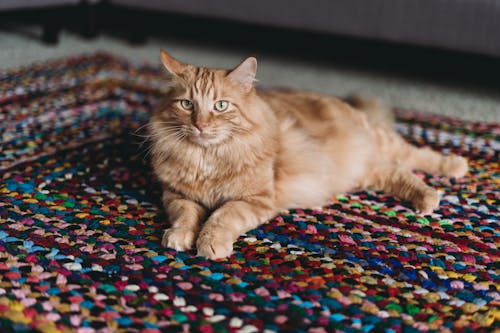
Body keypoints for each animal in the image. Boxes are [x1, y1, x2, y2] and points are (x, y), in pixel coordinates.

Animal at [148, 49, 468, 260]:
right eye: (187, 104)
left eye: (221, 106)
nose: (200, 125)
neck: (207, 158)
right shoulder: (175, 195)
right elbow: (186, 215)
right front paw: (179, 236)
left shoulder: (255, 199)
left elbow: (220, 217)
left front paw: (211, 244)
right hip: (366, 172)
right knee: (398, 172)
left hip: (383, 144)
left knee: (417, 156)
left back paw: (449, 173)